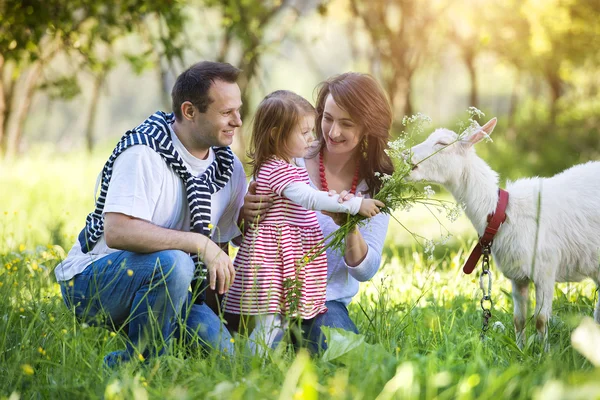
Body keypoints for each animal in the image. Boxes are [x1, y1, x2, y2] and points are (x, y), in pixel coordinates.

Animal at [408, 117, 600, 348]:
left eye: (442, 144)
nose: (405, 154)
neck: (503, 213)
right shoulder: (518, 275)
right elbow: (519, 319)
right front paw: (521, 349)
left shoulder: (545, 269)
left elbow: (541, 319)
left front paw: (544, 352)